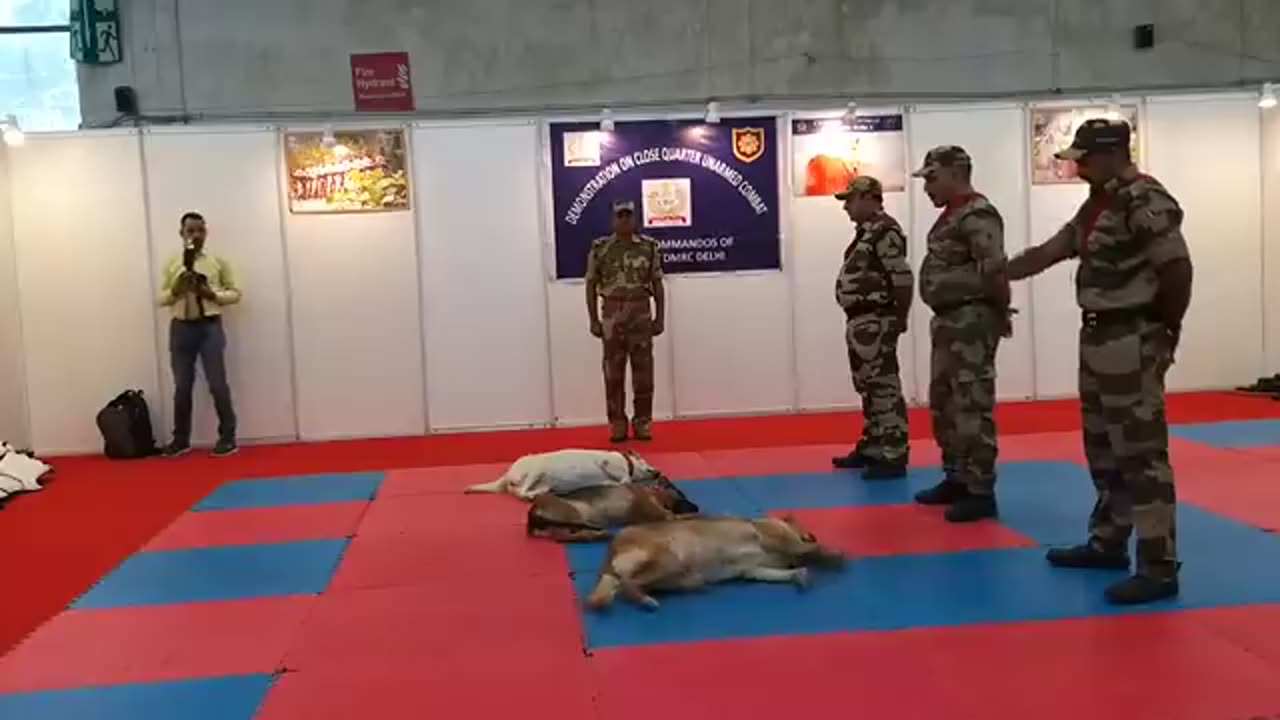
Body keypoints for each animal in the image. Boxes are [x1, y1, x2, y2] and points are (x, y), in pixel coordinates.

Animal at [463, 448, 660, 499]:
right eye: (646, 462)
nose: (658, 473)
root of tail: (508, 474)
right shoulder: (607, 462)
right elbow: (624, 478)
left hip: (543, 482)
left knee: (521, 491)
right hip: (537, 469)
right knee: (520, 492)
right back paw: (530, 496)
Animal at [522, 479, 701, 540]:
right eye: (681, 494)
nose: (697, 506)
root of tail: (533, 513)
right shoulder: (662, 514)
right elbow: (676, 517)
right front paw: (695, 515)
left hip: (563, 525)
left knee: (568, 536)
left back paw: (597, 535)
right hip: (573, 513)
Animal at [586, 512, 844, 607]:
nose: (812, 533)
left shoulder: (754, 570)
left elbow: (782, 570)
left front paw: (799, 573)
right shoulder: (781, 539)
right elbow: (810, 549)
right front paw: (831, 554)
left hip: (673, 573)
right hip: (669, 559)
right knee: (629, 585)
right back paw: (645, 600)